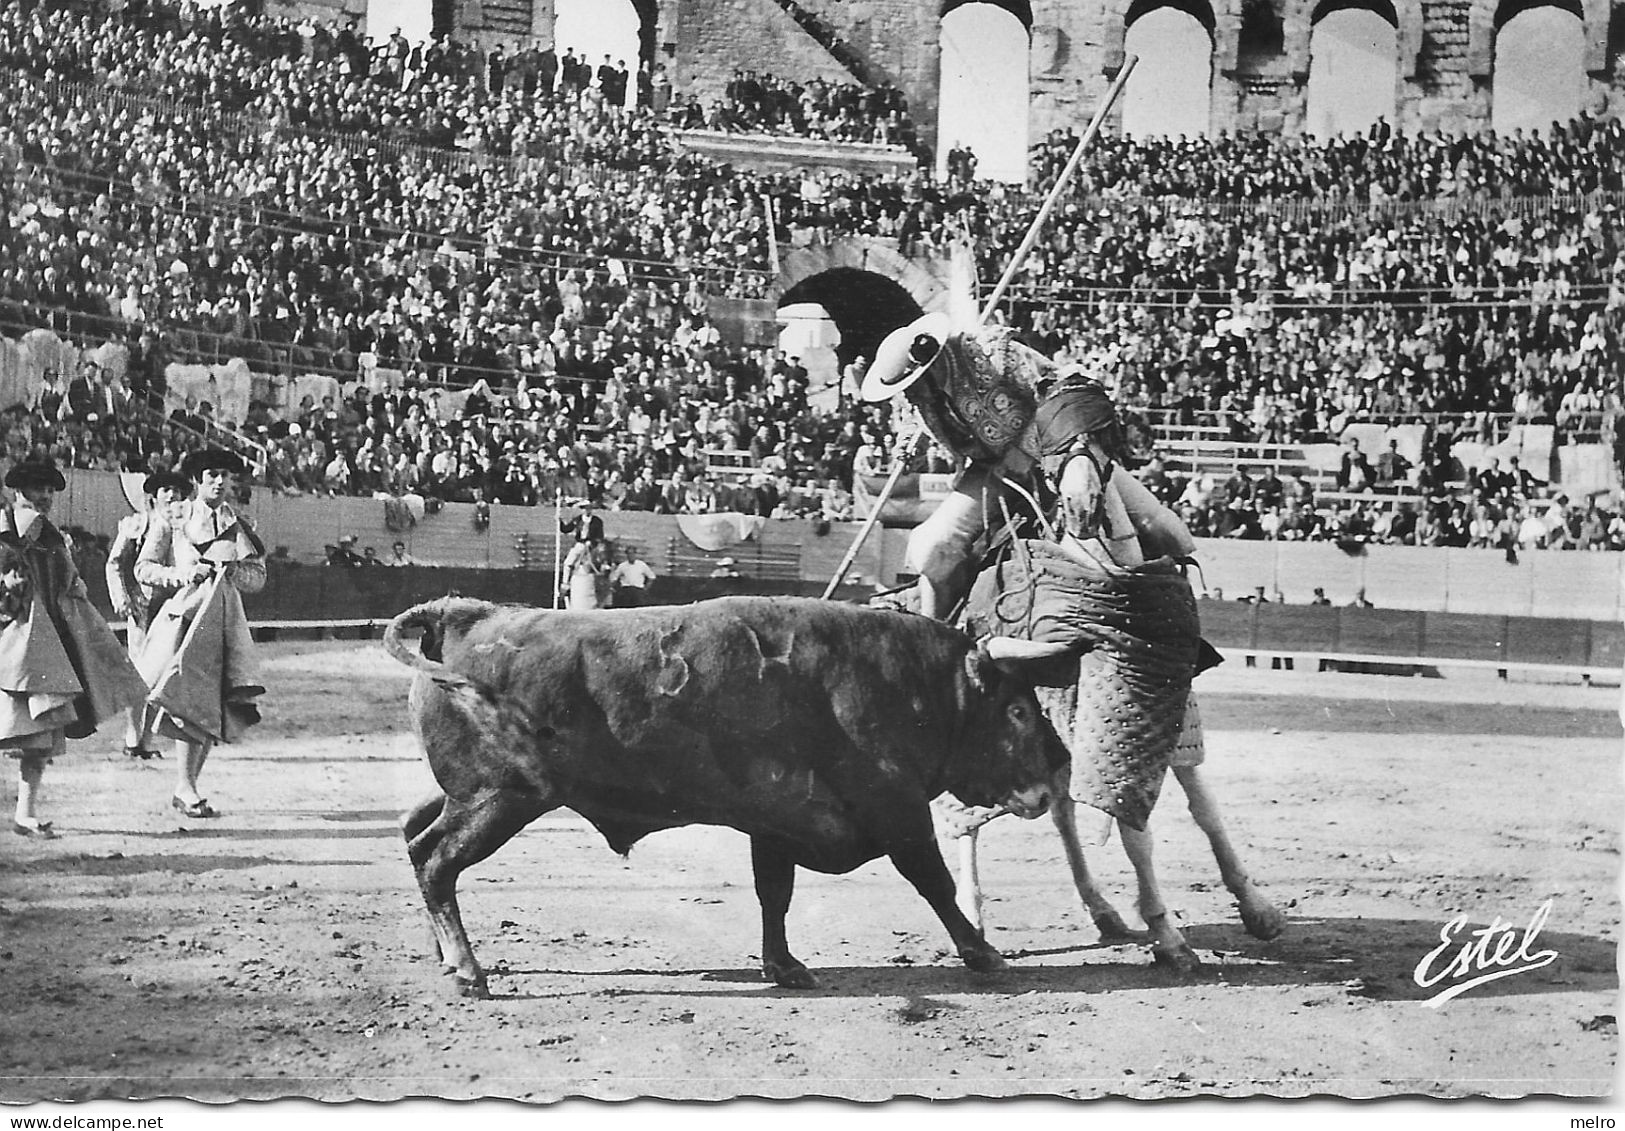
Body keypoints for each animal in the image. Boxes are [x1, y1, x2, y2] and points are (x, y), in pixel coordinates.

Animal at [385, 598, 1072, 994]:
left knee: (415, 836)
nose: (1060, 766)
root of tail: (465, 614)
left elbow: (775, 894)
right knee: (438, 861)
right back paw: (469, 971)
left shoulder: (777, 825)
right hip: (500, 800)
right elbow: (934, 883)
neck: (912, 687)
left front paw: (784, 967)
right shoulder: (899, 814)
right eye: (1016, 710)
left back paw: (446, 955)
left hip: (469, 796)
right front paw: (984, 953)